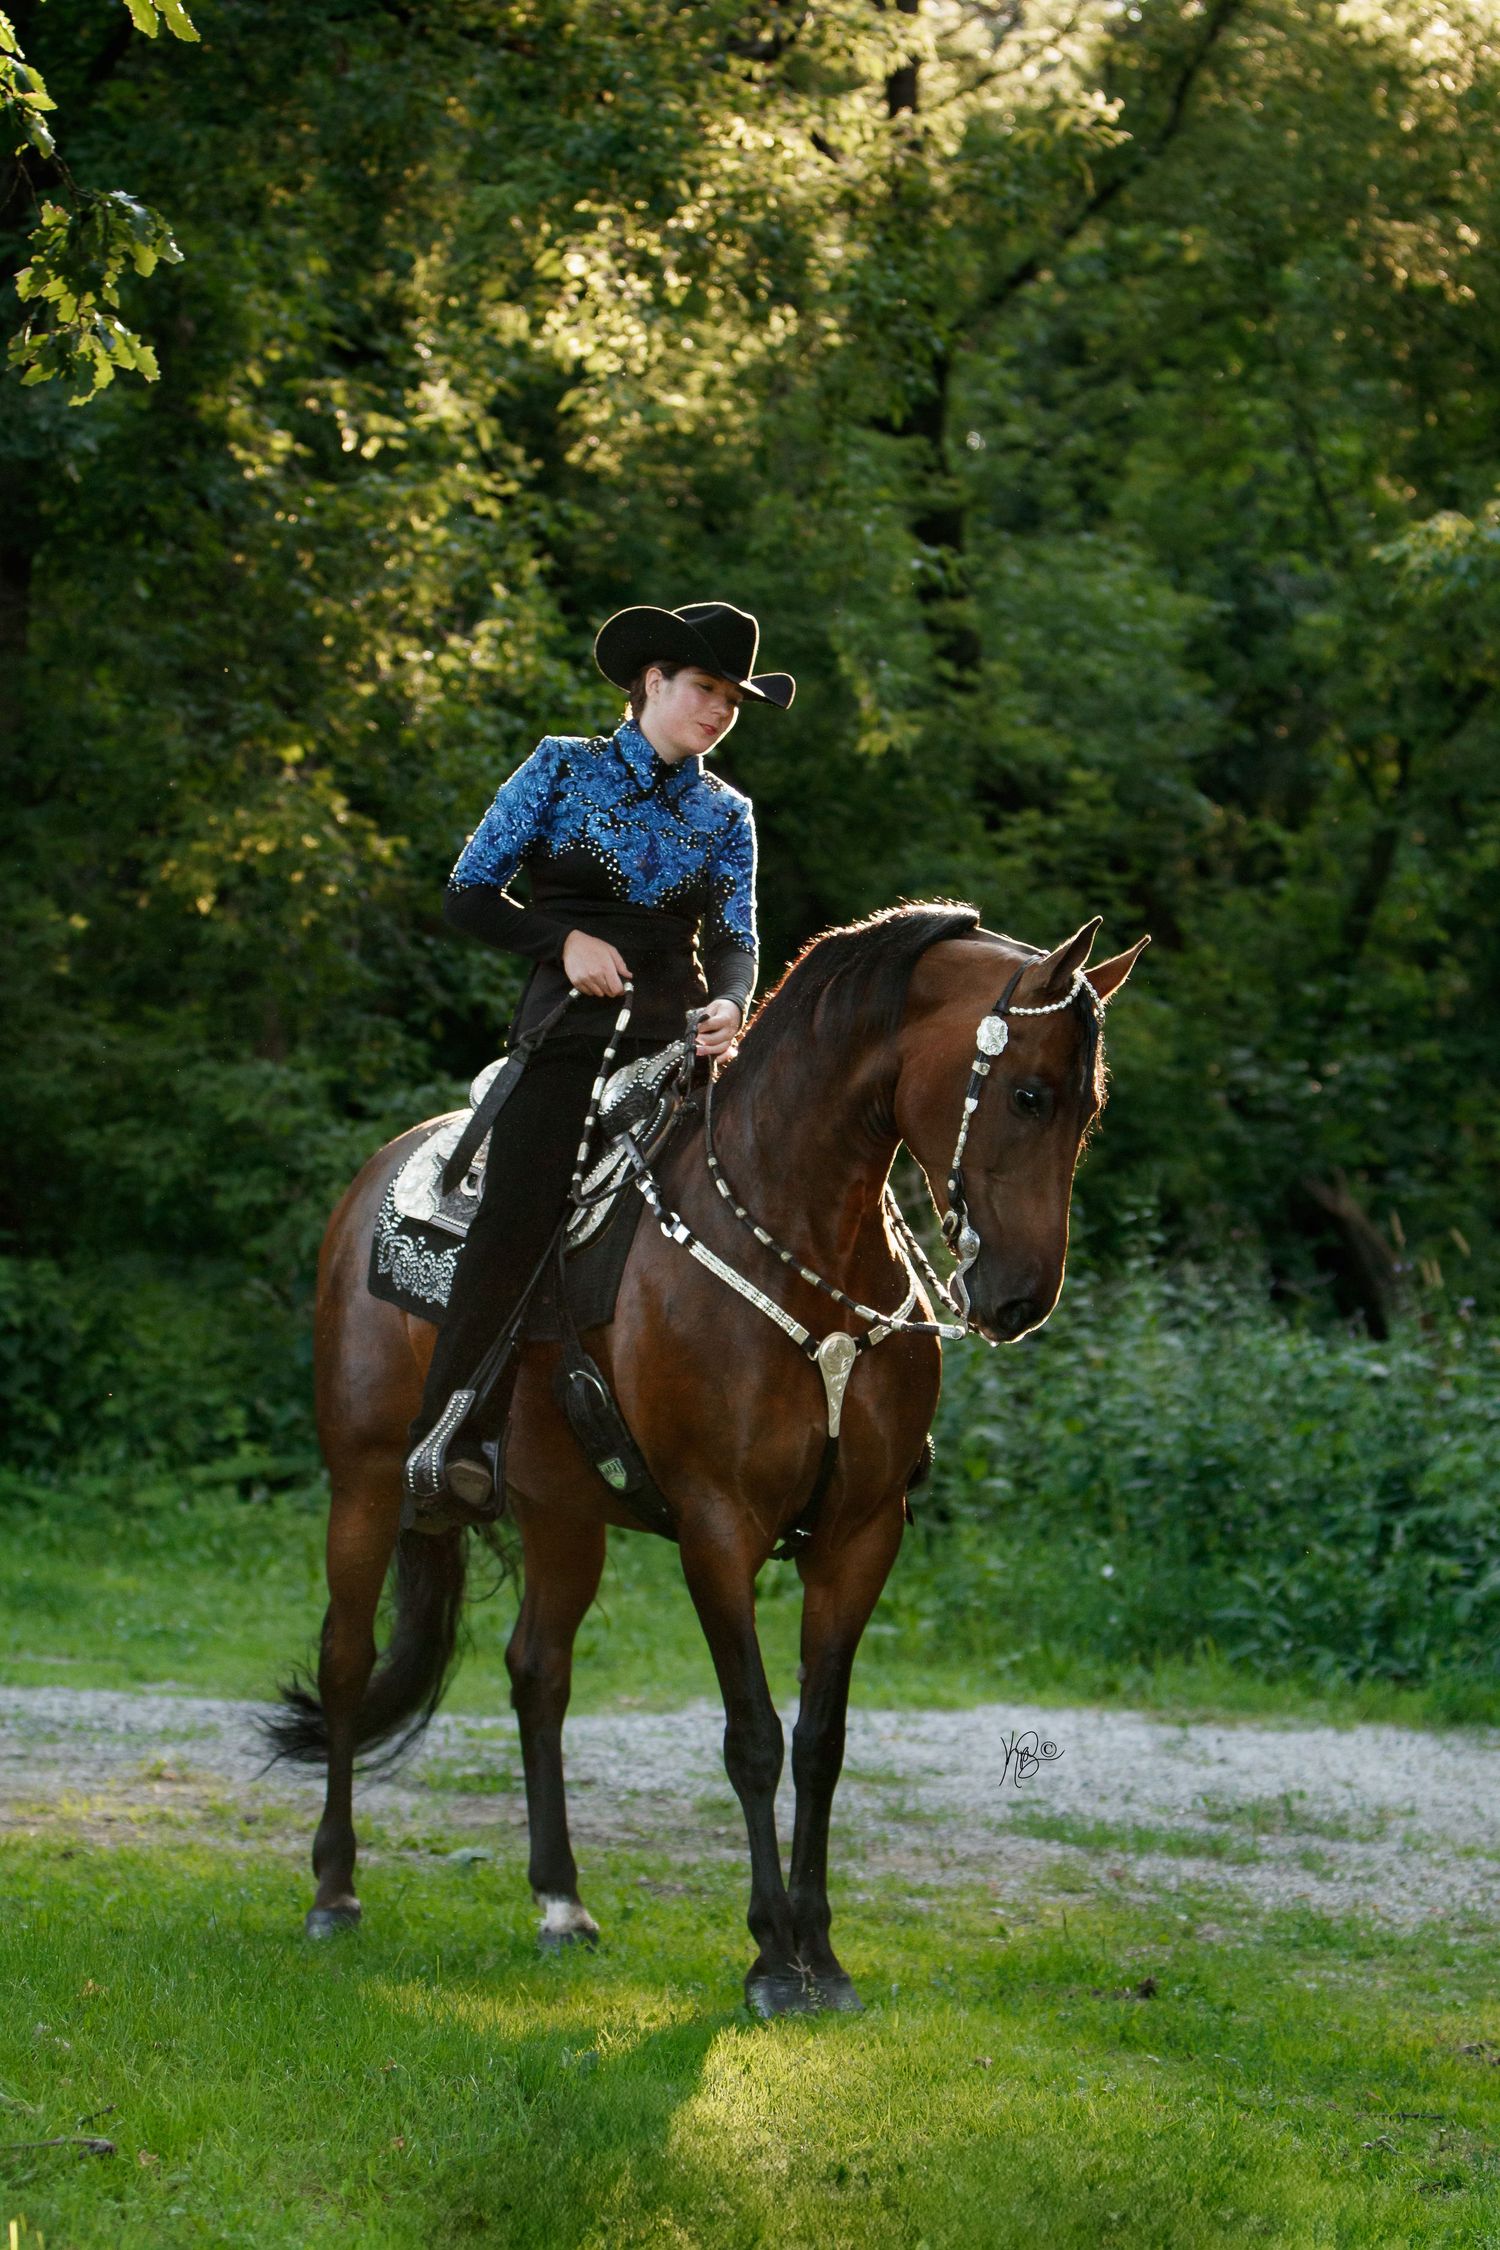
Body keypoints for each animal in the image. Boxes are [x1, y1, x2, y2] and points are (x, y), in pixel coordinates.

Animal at [263, 901, 1145, 2016]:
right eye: (1029, 1094)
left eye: (1090, 1108)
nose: (1022, 1297)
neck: (802, 1244)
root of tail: (381, 1172)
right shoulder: (718, 1529)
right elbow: (754, 1736)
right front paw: (772, 1956)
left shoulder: (860, 1537)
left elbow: (821, 1742)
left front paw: (823, 1955)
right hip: (367, 1482)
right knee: (348, 1661)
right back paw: (333, 1891)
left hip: (561, 1514)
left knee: (537, 1674)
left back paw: (561, 1902)